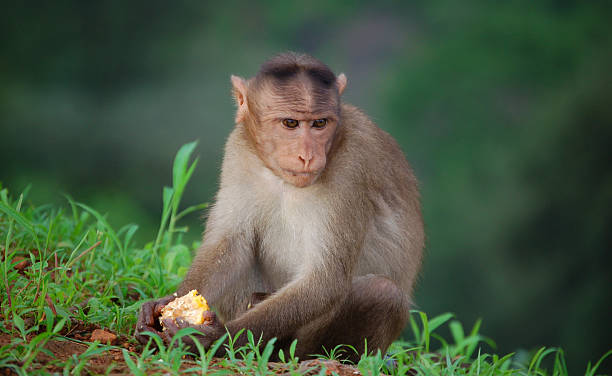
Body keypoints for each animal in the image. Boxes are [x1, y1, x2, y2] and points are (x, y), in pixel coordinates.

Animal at [136, 51, 424, 362]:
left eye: (320, 124)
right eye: (290, 123)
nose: (307, 156)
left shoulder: (353, 165)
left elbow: (324, 280)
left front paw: (214, 338)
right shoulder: (238, 150)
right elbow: (229, 245)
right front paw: (165, 304)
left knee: (381, 292)